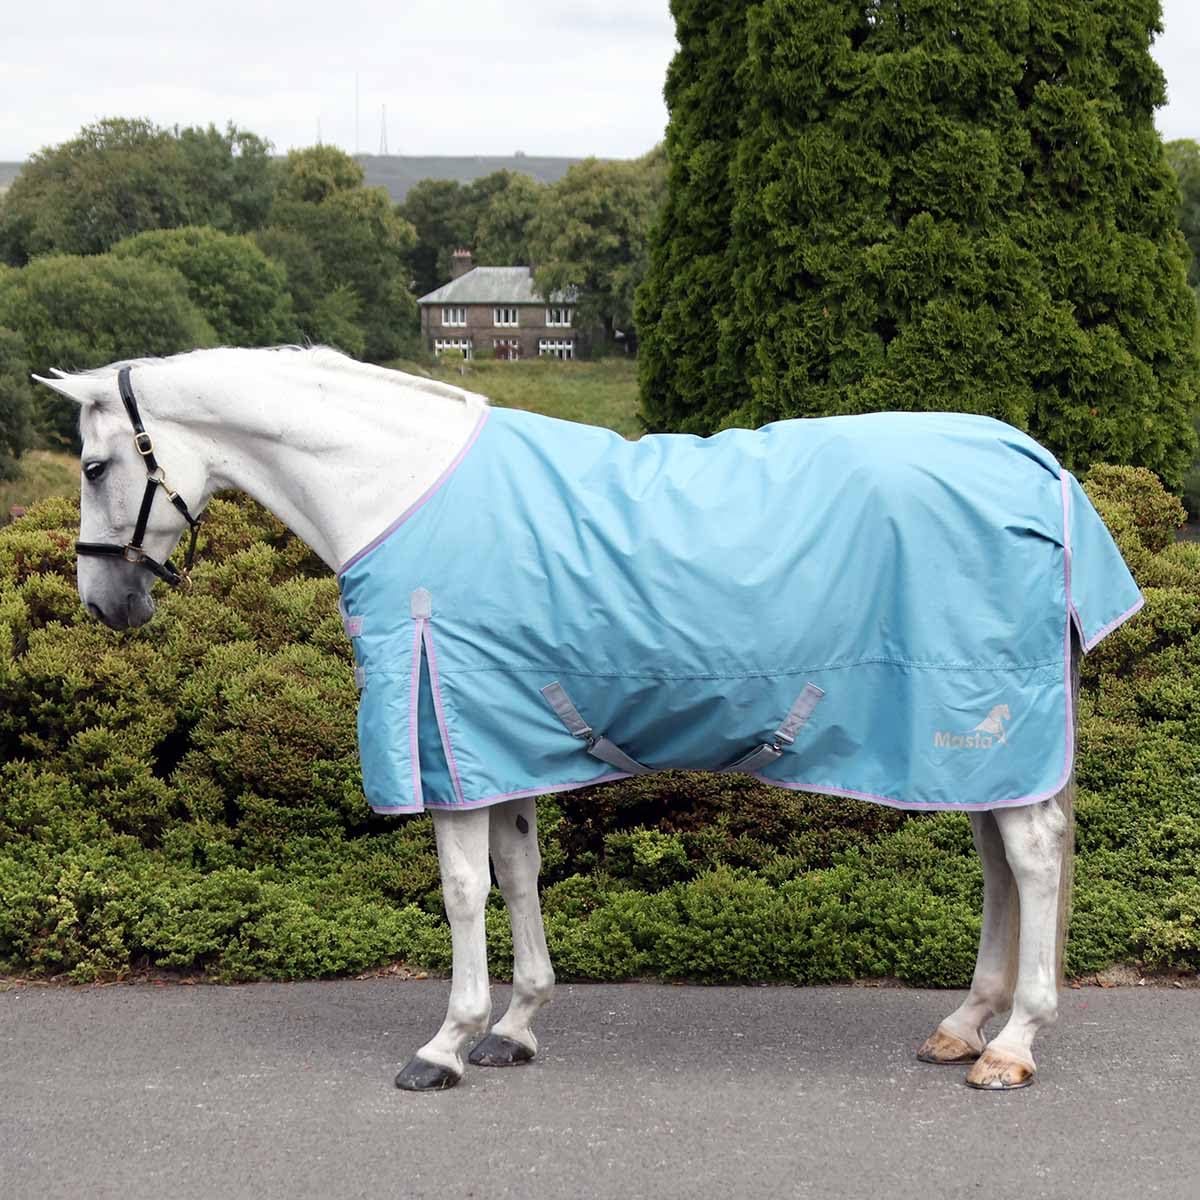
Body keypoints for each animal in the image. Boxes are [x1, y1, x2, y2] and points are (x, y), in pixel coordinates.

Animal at [37, 345, 1141, 1093]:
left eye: (93, 468)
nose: (105, 604)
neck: (394, 489)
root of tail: (1036, 463)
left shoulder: (446, 731)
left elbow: (462, 892)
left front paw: (445, 1044)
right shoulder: (500, 740)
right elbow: (520, 874)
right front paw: (515, 1027)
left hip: (983, 724)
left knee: (1030, 861)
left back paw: (1012, 1045)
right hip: (978, 751)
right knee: (1000, 865)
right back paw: (964, 1025)